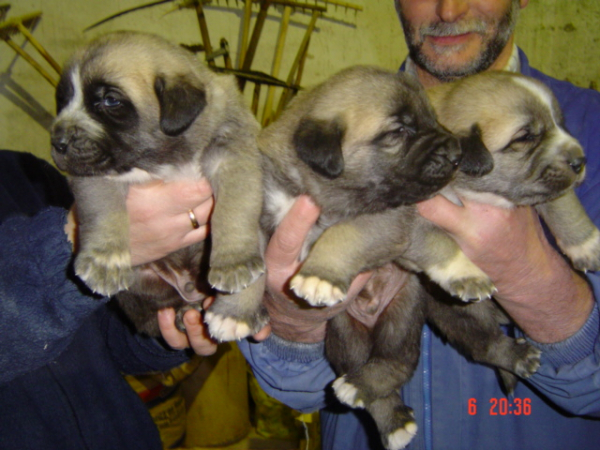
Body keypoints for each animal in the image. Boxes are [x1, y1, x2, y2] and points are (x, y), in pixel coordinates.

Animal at [51, 32, 268, 342]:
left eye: (110, 100)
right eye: (63, 99)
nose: (57, 143)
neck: (163, 157)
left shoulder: (234, 152)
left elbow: (233, 210)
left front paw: (233, 263)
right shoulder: (94, 173)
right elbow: (103, 213)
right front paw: (105, 261)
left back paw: (237, 315)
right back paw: (183, 313)